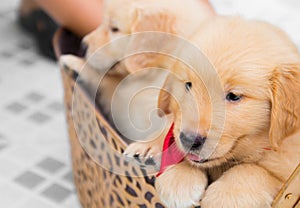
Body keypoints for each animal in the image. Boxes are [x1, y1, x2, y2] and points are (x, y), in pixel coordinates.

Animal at [144, 16, 300, 208]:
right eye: (188, 85)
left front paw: (225, 196)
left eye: (233, 96)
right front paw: (178, 177)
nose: (188, 139)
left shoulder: (286, 173)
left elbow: (252, 170)